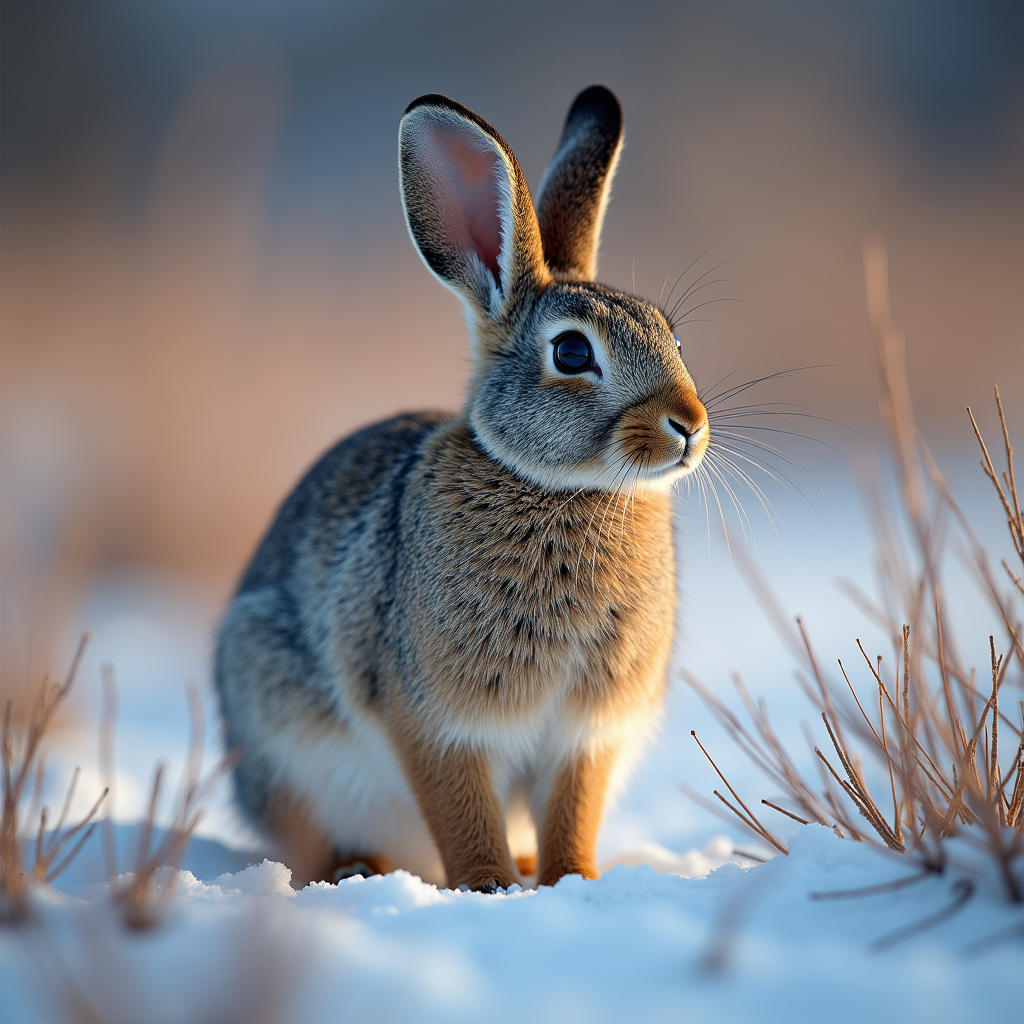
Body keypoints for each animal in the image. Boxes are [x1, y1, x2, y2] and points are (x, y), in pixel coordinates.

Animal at [215, 85, 709, 892]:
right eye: (573, 353)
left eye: (671, 334)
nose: (689, 426)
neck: (559, 490)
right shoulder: (436, 720)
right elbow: (462, 808)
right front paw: (490, 887)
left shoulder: (585, 737)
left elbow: (574, 811)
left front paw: (573, 881)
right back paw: (359, 868)